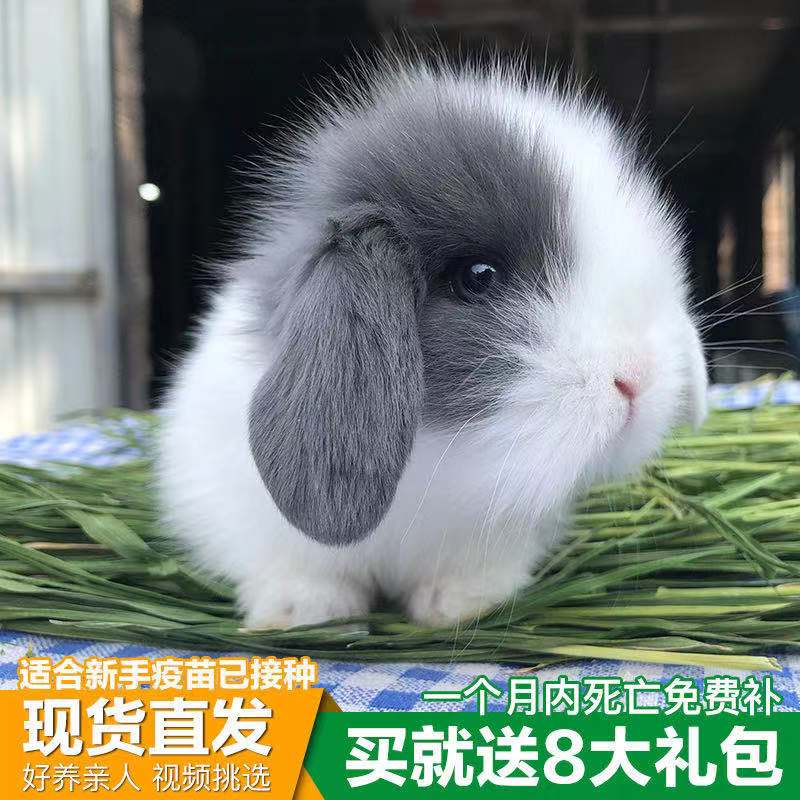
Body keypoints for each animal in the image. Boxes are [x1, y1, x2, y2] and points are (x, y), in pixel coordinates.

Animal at [157, 55, 708, 630]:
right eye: (478, 277)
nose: (638, 378)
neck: (432, 459)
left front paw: (458, 607)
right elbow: (300, 570)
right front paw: (302, 612)